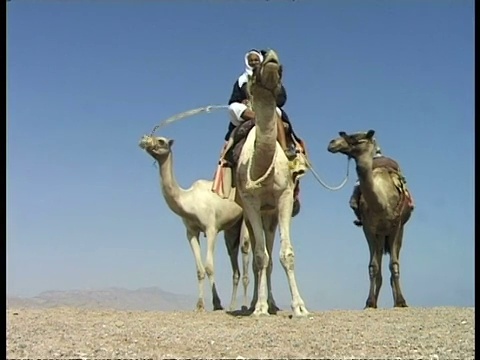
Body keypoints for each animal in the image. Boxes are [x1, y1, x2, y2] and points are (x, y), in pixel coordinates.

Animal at [139, 136, 251, 310]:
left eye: (161, 140)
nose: (144, 140)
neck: (189, 201)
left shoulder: (211, 228)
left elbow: (209, 267)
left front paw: (217, 303)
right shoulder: (191, 232)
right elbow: (199, 270)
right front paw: (199, 305)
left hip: (245, 216)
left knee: (246, 249)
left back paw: (247, 306)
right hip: (232, 227)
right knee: (233, 255)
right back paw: (233, 306)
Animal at [234, 49, 310, 316]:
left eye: (282, 69)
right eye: (254, 68)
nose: (271, 58)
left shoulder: (284, 197)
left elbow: (286, 255)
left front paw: (299, 308)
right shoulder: (251, 203)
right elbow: (260, 257)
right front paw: (259, 308)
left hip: (272, 216)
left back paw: (274, 303)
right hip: (252, 215)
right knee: (259, 255)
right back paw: (257, 303)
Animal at [326, 131, 412, 308]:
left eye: (356, 137)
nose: (332, 143)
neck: (382, 202)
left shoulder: (396, 226)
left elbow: (394, 265)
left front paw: (401, 301)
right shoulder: (368, 228)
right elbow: (373, 266)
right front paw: (369, 302)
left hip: (398, 230)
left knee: (394, 259)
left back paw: (396, 300)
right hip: (379, 235)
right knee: (378, 261)